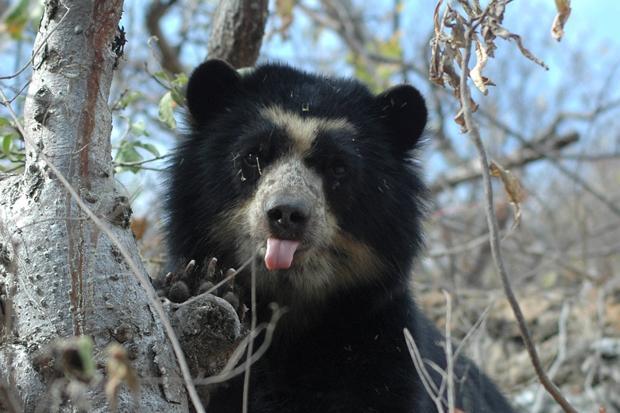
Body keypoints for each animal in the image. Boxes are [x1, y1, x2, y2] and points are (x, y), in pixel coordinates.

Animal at [165, 58, 512, 412]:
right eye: (252, 156)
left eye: (338, 168)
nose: (286, 214)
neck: (291, 307)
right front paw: (199, 285)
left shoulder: (381, 348)